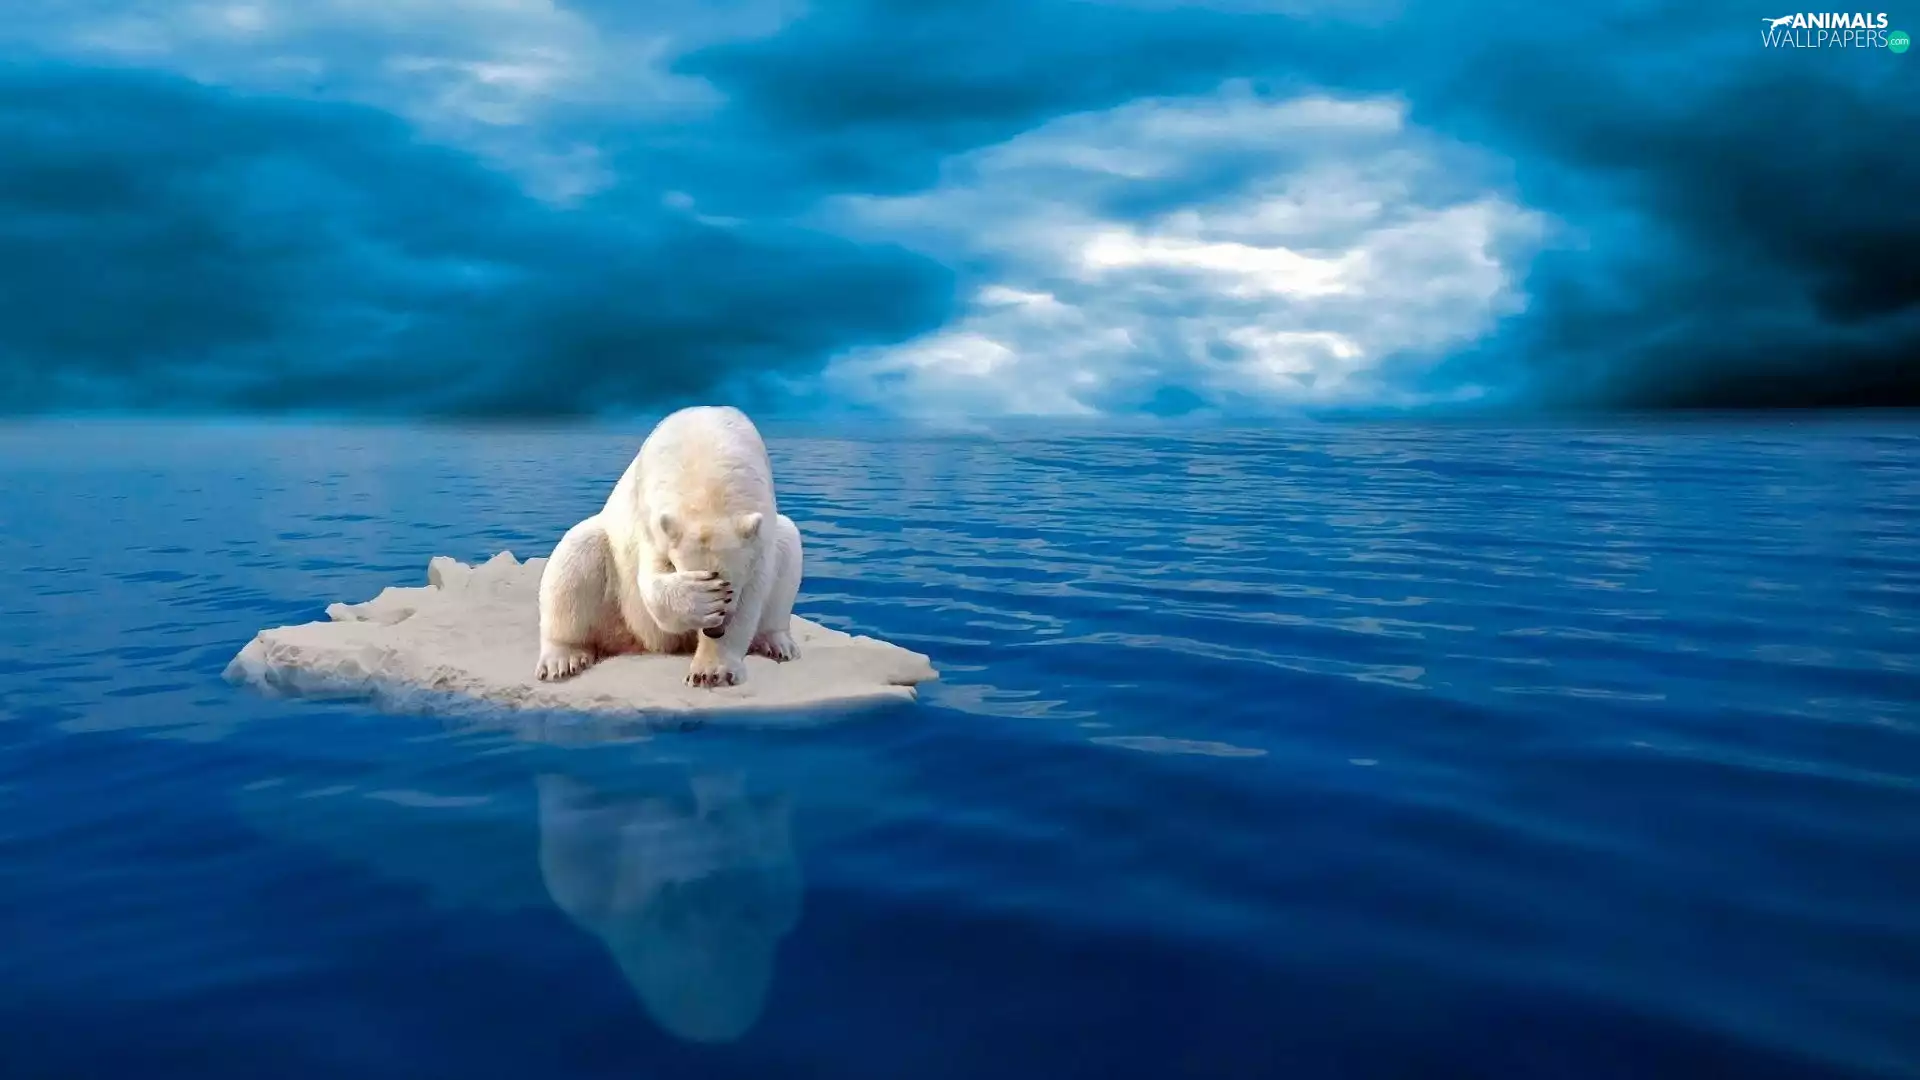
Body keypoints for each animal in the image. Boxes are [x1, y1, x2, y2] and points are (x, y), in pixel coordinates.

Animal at [534, 405, 803, 688]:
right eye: (712, 583)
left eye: (729, 589)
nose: (714, 630)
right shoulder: (651, 520)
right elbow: (651, 579)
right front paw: (697, 598)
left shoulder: (760, 536)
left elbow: (751, 595)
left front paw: (711, 671)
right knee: (575, 556)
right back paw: (562, 659)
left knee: (789, 544)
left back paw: (777, 643)